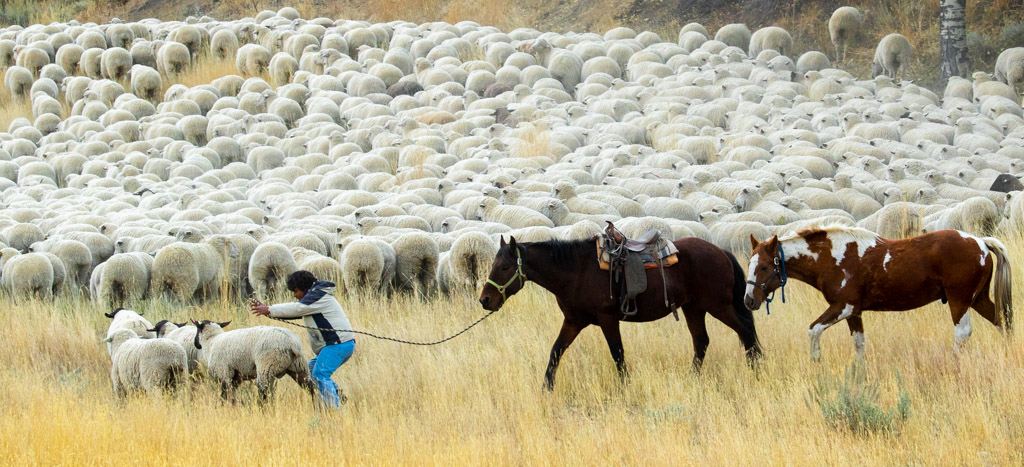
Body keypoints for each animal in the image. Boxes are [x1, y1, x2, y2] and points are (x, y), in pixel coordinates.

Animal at [478, 235, 761, 391]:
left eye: (504, 267)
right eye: (493, 264)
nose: (485, 300)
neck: (575, 271)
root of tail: (721, 252)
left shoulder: (608, 320)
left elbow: (618, 354)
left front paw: (625, 386)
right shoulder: (573, 321)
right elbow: (556, 351)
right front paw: (546, 389)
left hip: (718, 306)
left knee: (745, 331)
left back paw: (756, 370)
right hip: (694, 308)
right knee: (701, 341)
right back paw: (692, 379)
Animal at [745, 226, 1012, 359]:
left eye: (764, 266)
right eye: (750, 263)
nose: (749, 300)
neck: (832, 258)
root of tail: (980, 241)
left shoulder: (844, 307)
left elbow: (813, 330)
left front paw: (816, 361)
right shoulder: (854, 313)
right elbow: (859, 344)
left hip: (959, 300)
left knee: (963, 334)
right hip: (977, 299)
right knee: (1002, 322)